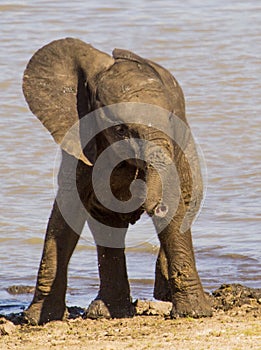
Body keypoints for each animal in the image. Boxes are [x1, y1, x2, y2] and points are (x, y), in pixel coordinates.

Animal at [22, 37, 211, 324]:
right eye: (121, 129)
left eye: (171, 120)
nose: (149, 204)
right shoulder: (81, 145)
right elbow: (65, 214)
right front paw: (38, 320)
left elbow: (176, 212)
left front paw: (195, 314)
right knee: (107, 226)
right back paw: (108, 312)